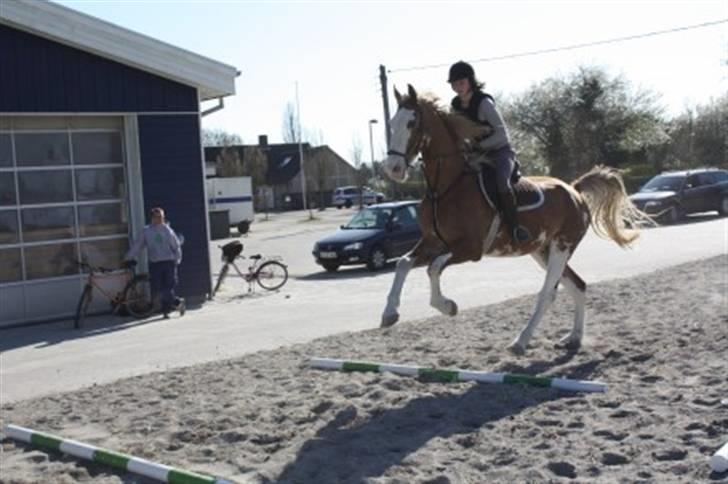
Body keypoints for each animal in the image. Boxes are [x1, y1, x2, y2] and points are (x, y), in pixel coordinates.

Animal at [382, 84, 648, 356]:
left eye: (412, 123)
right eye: (392, 123)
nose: (393, 168)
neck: (445, 187)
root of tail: (574, 190)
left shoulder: (470, 249)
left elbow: (433, 267)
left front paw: (447, 306)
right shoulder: (433, 242)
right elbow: (403, 263)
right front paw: (389, 314)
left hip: (562, 247)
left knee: (548, 294)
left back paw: (521, 341)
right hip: (542, 250)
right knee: (578, 285)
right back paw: (574, 338)